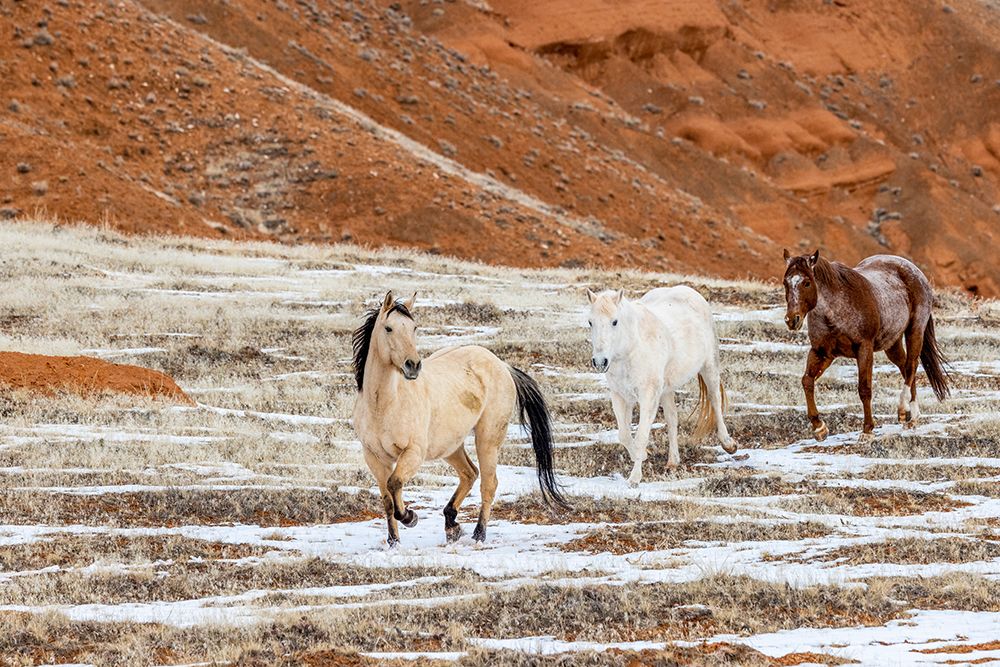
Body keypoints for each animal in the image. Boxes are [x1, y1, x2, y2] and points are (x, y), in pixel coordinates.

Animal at [351, 291, 567, 547]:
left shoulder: (413, 453)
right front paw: (394, 542)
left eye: (414, 327)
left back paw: (478, 534)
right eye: (388, 328)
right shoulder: (374, 457)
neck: (384, 404)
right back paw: (452, 524)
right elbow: (386, 498)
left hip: (487, 440)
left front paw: (410, 517)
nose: (413, 365)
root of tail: (502, 366)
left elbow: (395, 484)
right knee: (469, 473)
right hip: (450, 446)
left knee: (488, 483)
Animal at [586, 287, 736, 484]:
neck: (632, 348)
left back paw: (728, 444)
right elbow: (624, 435)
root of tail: (689, 291)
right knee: (672, 419)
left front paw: (635, 478)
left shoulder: (648, 396)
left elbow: (641, 436)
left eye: (615, 322)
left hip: (709, 367)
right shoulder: (620, 396)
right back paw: (673, 461)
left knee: (715, 401)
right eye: (590, 322)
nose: (600, 362)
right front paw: (641, 456)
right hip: (667, 390)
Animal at [782, 249, 950, 443]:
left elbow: (864, 389)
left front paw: (867, 430)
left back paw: (903, 410)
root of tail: (914, 270)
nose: (792, 320)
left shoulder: (864, 349)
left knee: (911, 366)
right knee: (905, 367)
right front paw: (819, 428)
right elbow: (807, 381)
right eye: (785, 282)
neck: (835, 311)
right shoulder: (821, 352)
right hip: (892, 343)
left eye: (807, 282)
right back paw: (911, 418)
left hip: (915, 331)